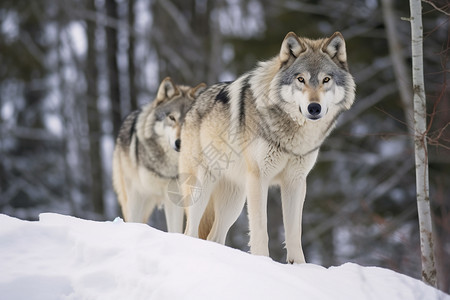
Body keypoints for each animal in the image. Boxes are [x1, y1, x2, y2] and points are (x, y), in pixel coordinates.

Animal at [179, 31, 356, 262]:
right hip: (202, 188)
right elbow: (260, 229)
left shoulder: (296, 181)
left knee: (213, 237)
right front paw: (263, 260)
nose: (314, 108)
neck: (293, 134)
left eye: (326, 79)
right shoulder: (258, 178)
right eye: (301, 79)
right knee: (189, 231)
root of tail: (193, 105)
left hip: (234, 202)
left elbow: (294, 232)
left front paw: (299, 266)